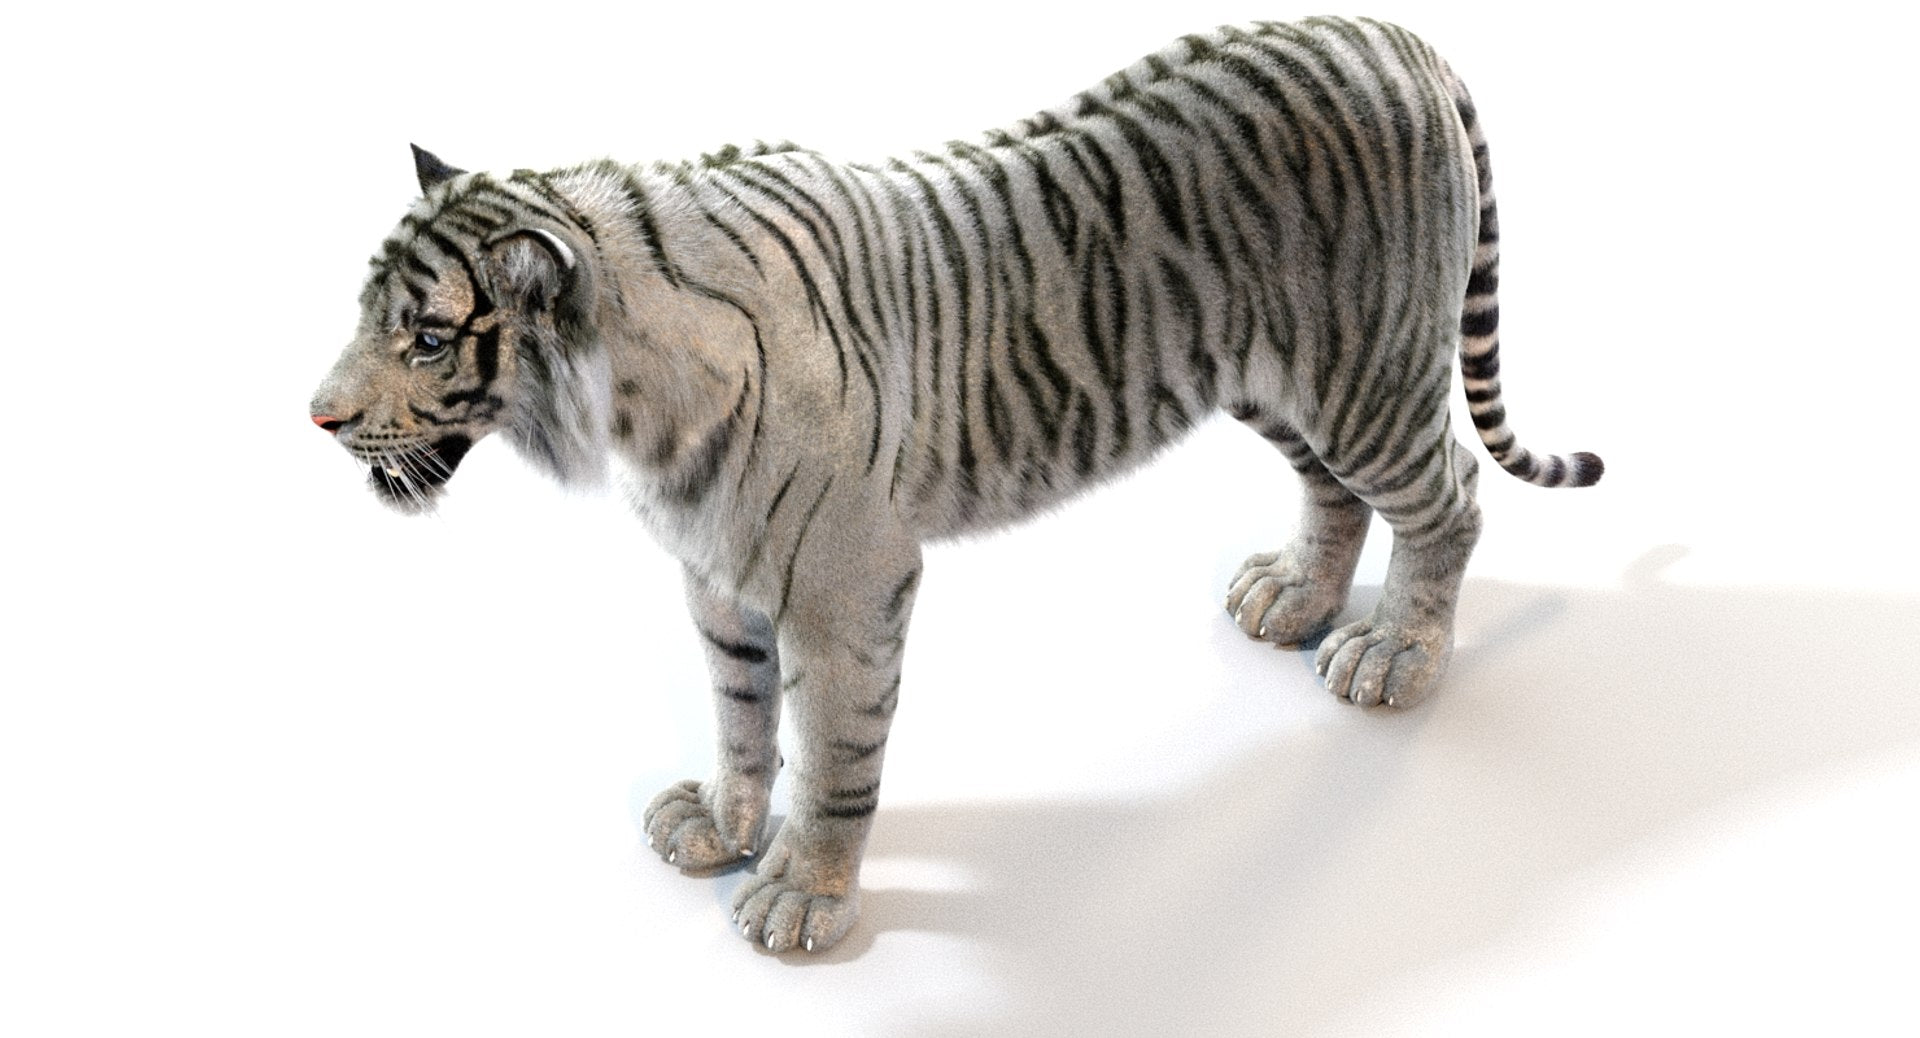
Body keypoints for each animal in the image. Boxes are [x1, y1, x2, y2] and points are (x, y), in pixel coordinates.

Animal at [309, 16, 1602, 953]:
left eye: (427, 336)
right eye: (369, 312)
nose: (316, 418)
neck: (633, 414)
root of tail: (1391, 35)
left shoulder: (846, 586)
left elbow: (832, 751)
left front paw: (804, 899)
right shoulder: (717, 581)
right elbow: (740, 719)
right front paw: (721, 828)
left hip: (1361, 375)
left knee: (1449, 495)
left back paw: (1395, 655)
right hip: (1272, 381)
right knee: (1336, 493)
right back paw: (1294, 600)